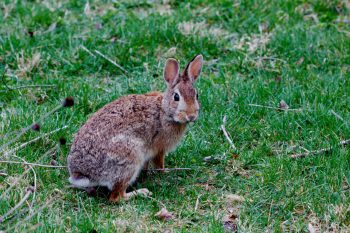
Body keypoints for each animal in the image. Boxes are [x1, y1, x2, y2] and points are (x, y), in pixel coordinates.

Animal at [67, 54, 204, 202]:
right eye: (176, 97)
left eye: (196, 95)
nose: (191, 116)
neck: (164, 110)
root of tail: (82, 174)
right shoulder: (159, 148)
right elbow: (159, 163)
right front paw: (165, 172)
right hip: (130, 157)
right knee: (116, 197)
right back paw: (141, 192)